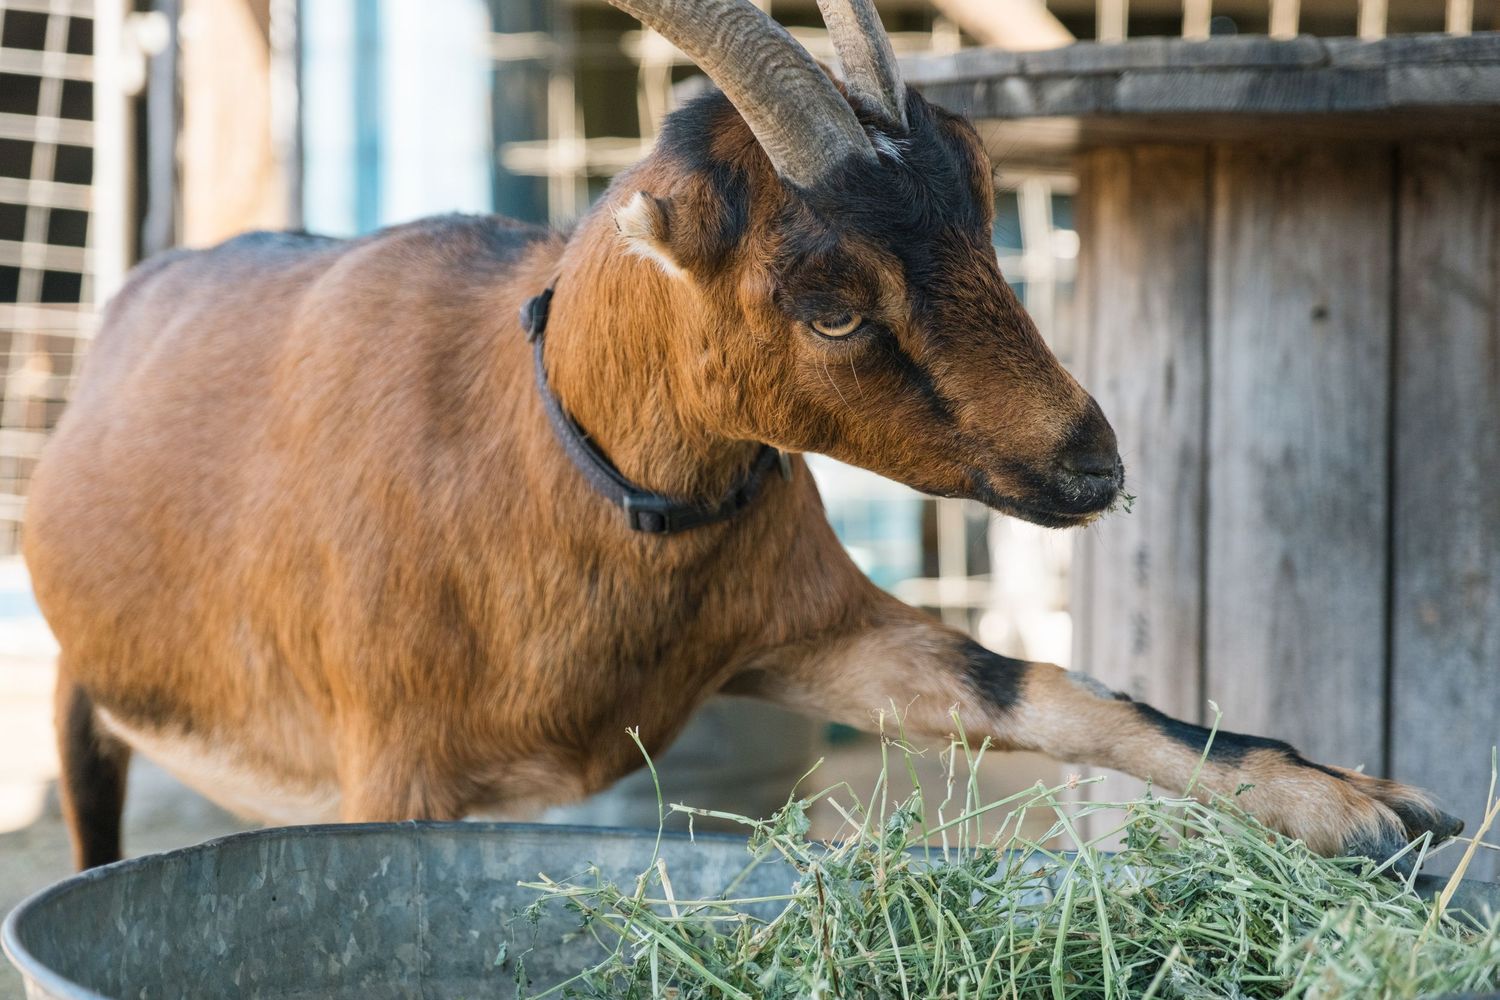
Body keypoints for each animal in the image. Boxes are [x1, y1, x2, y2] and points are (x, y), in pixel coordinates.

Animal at [27, 0, 1460, 871]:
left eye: (984, 213)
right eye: (830, 304)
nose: (1089, 464)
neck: (542, 447)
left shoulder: (804, 626)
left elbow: (1043, 690)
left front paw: (1367, 808)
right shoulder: (393, 767)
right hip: (86, 698)